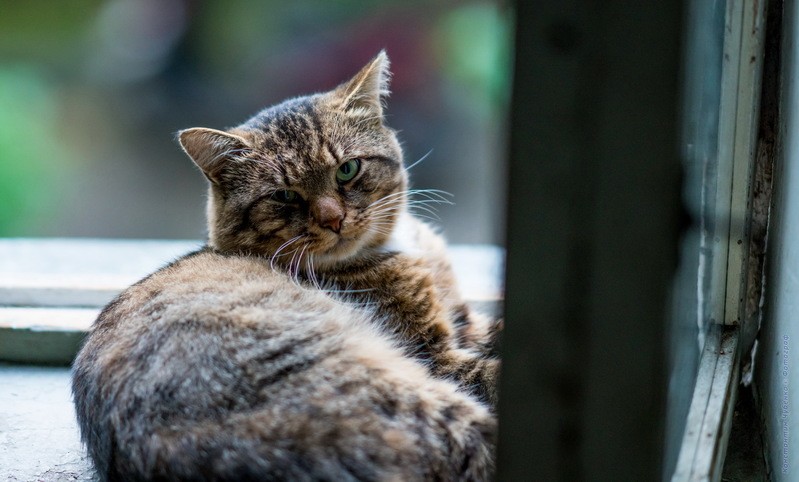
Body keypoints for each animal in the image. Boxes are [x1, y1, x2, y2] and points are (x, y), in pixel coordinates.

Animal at [73, 51, 500, 482]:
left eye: (348, 169)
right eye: (284, 196)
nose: (333, 219)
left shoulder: (465, 321)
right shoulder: (435, 354)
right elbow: (487, 371)